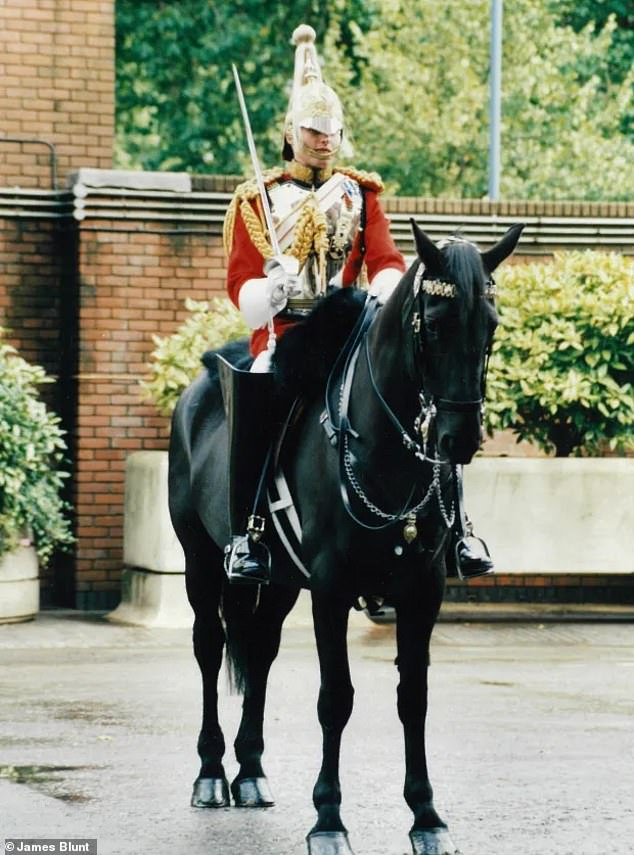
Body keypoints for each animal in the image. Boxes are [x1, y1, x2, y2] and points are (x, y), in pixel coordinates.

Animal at [168, 222, 524, 855]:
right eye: (435, 323)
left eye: (492, 324)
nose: (459, 439)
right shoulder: (332, 589)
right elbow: (335, 699)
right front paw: (329, 819)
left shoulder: (423, 590)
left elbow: (413, 697)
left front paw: (426, 816)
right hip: (201, 562)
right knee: (210, 646)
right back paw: (210, 772)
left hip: (281, 581)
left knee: (260, 651)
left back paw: (251, 771)